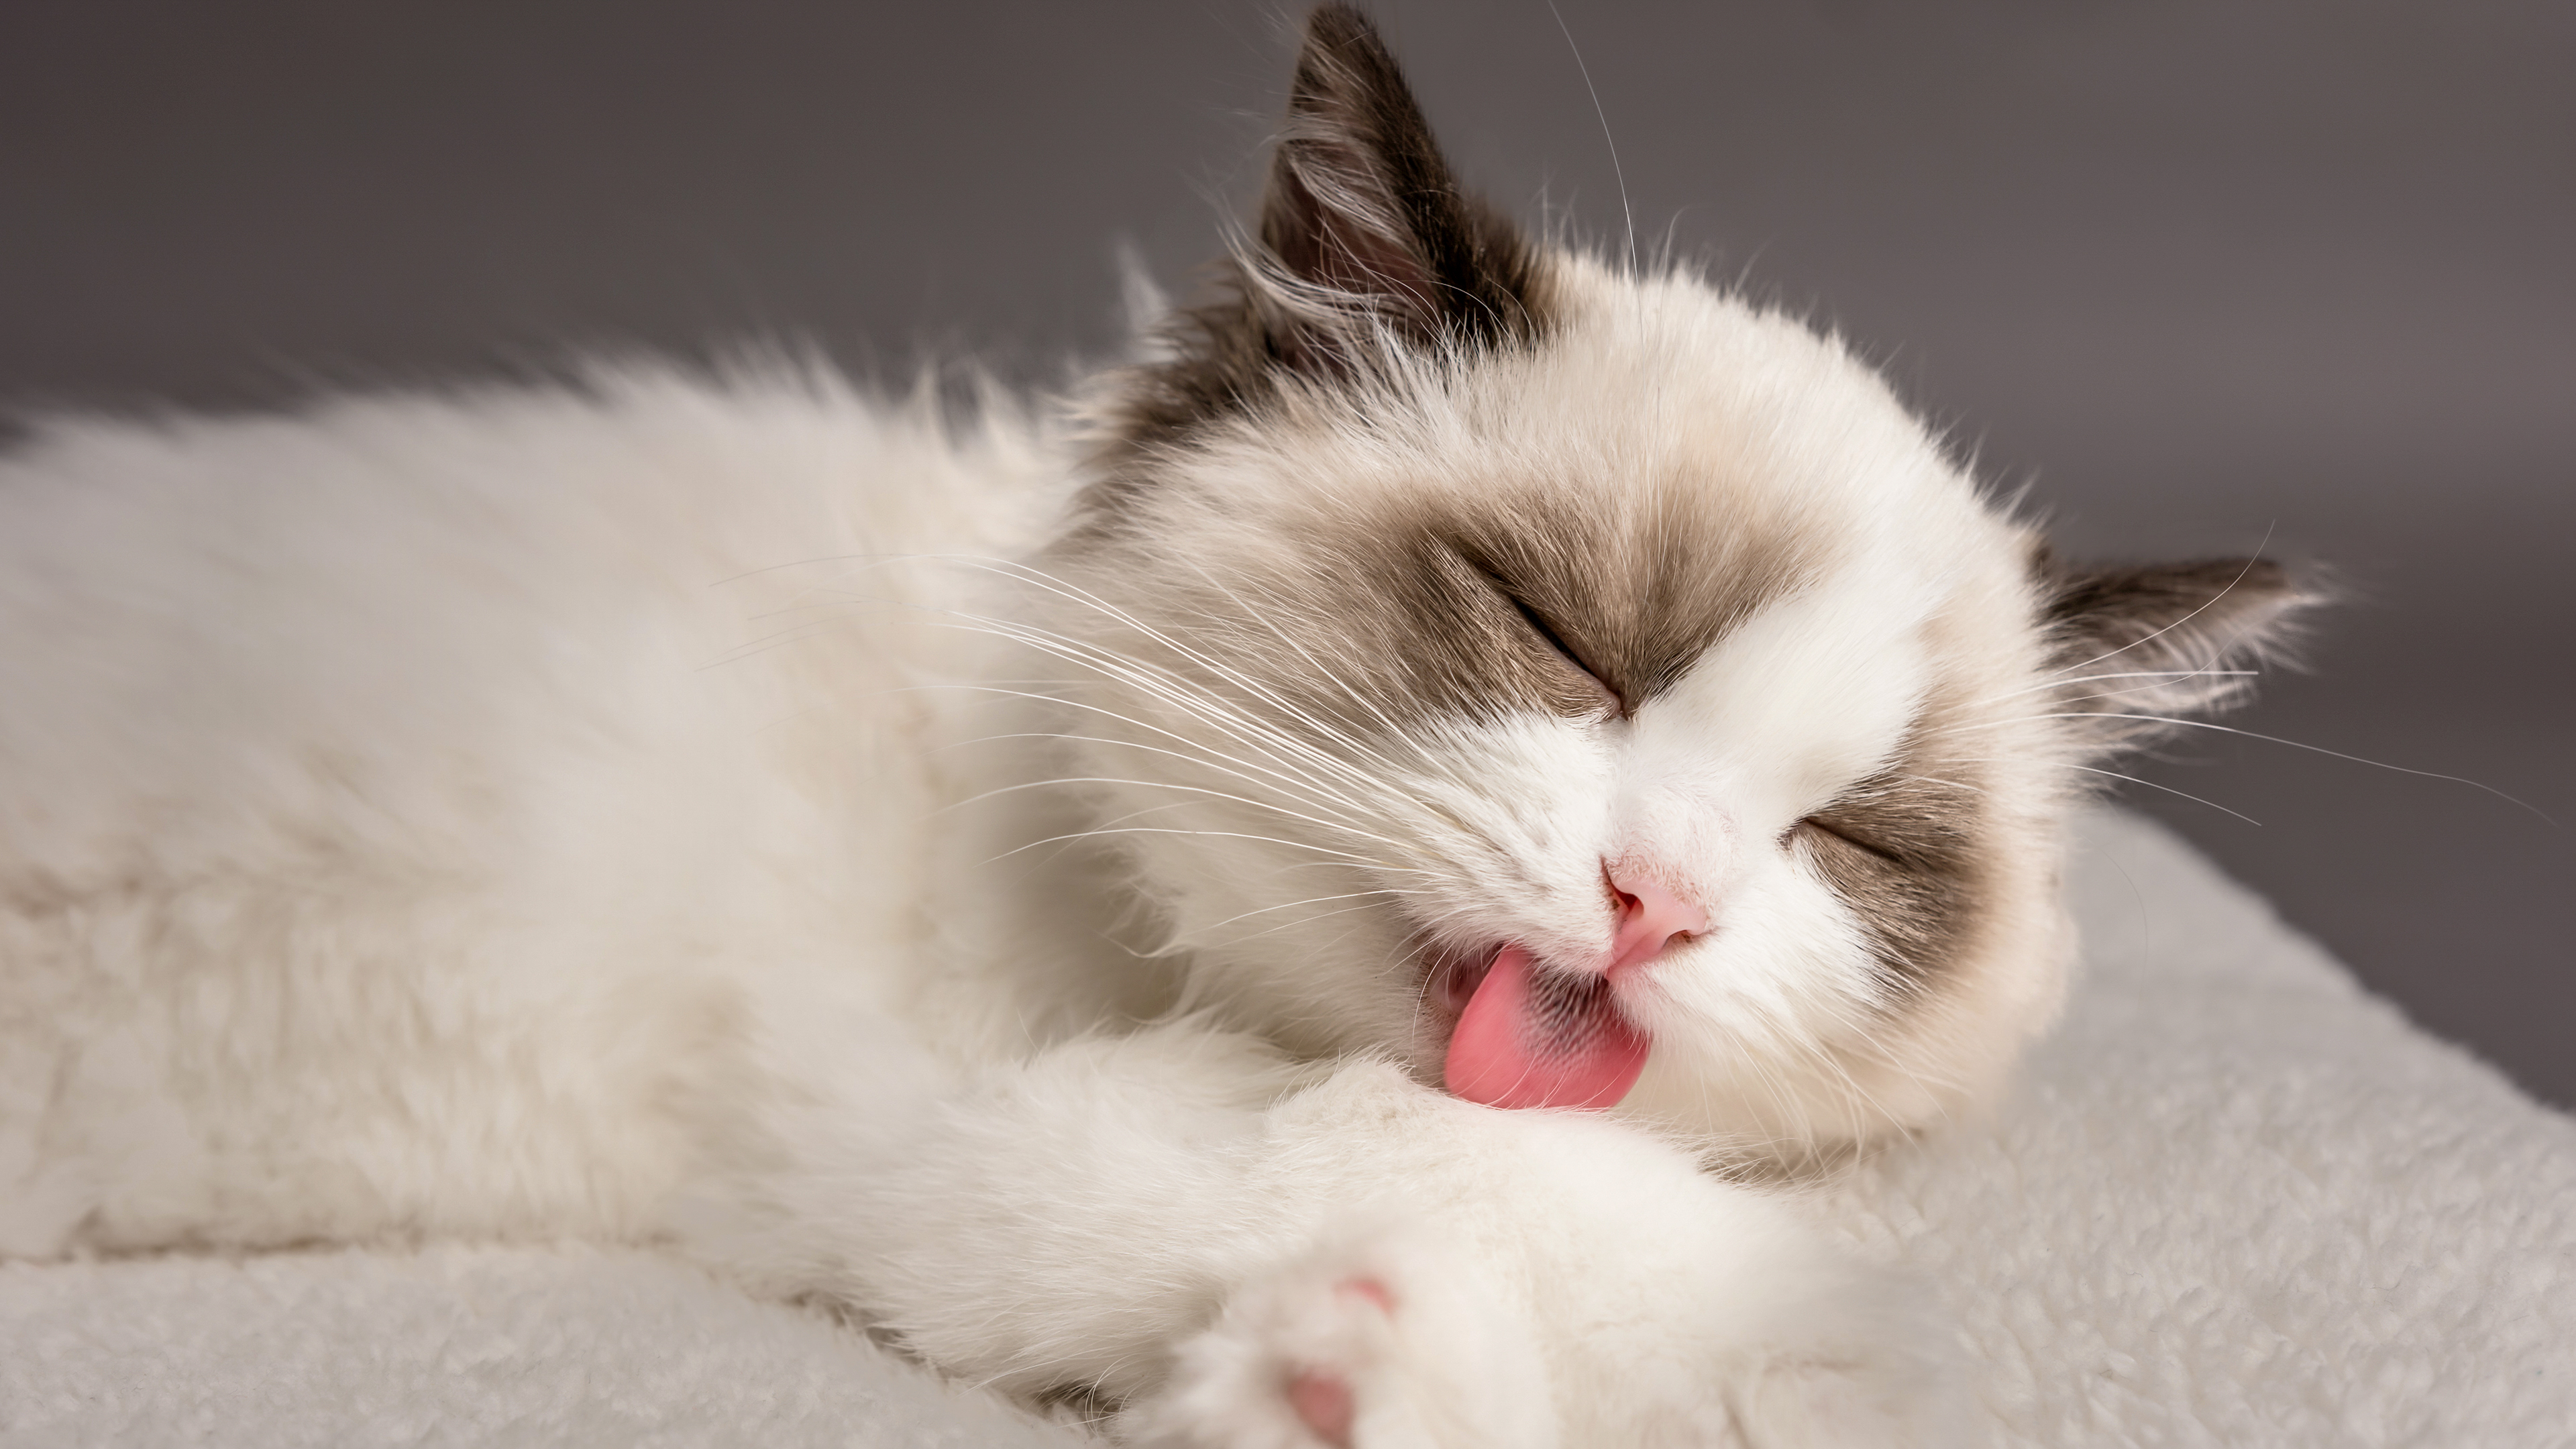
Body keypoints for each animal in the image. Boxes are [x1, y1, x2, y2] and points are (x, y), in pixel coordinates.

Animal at [0, 11, 2298, 1444]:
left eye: (1854, 842)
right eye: (1562, 642)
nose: (1655, 902)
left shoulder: (920, 1163)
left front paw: (1358, 1382)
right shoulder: (924, 1097)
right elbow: (1436, 1151)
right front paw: (1844, 1365)